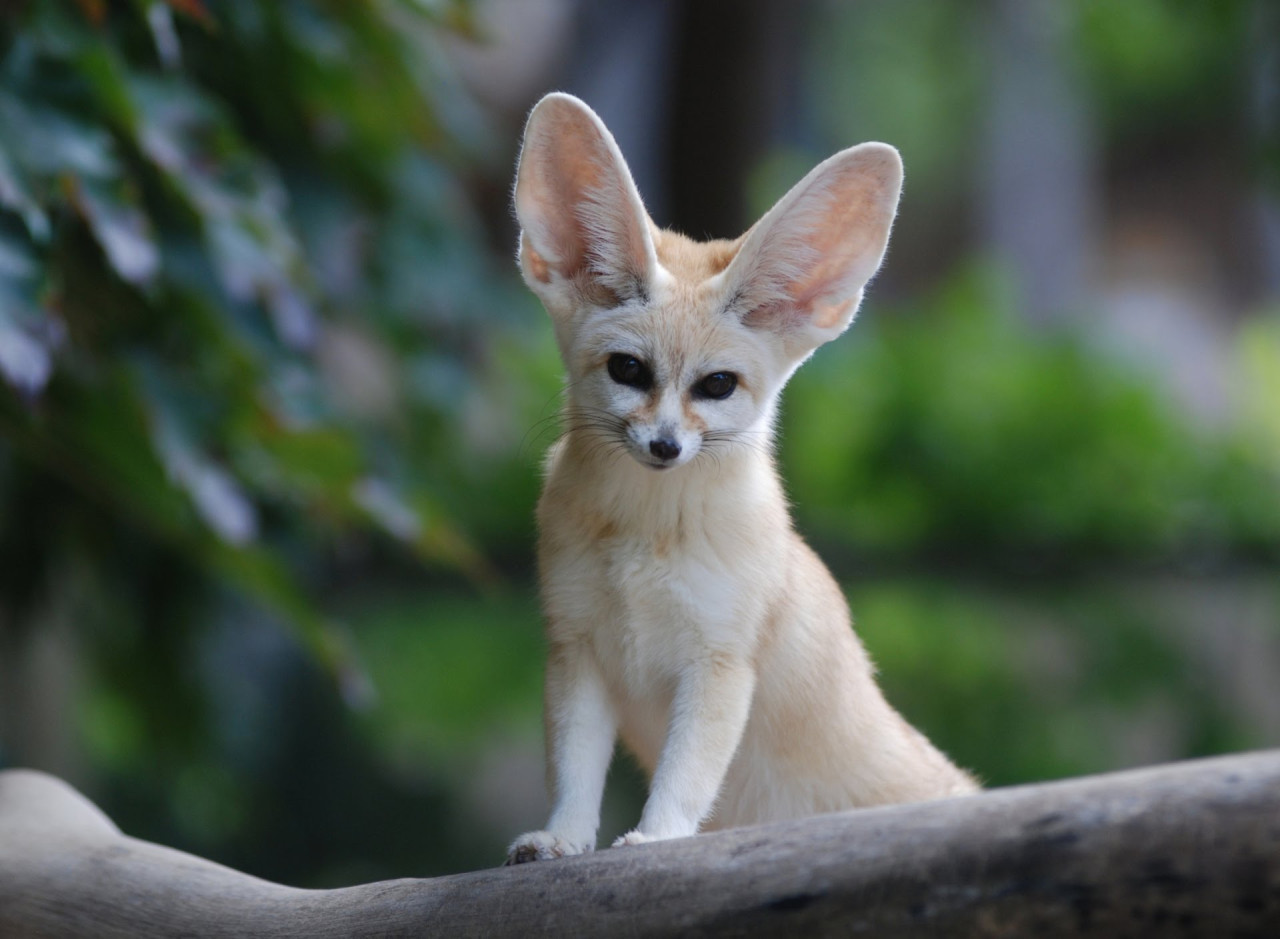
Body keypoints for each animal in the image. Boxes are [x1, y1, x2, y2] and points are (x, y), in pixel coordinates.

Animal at [504, 92, 972, 864]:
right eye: (628, 370)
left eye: (717, 385)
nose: (665, 446)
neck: (645, 540)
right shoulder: (577, 652)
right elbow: (573, 772)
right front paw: (561, 839)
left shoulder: (720, 664)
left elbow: (687, 773)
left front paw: (656, 838)